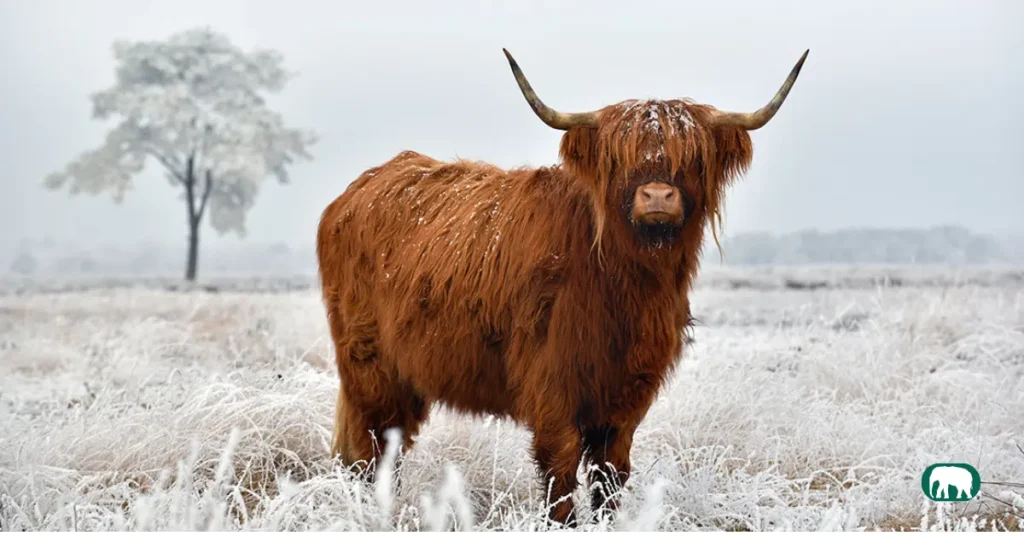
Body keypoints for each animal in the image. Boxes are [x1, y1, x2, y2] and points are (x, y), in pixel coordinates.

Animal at [315, 48, 809, 526]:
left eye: (692, 157)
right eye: (618, 158)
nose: (657, 196)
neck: (626, 285)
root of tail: (358, 189)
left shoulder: (627, 394)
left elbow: (611, 474)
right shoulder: (551, 383)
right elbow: (561, 472)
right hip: (370, 366)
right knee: (372, 447)